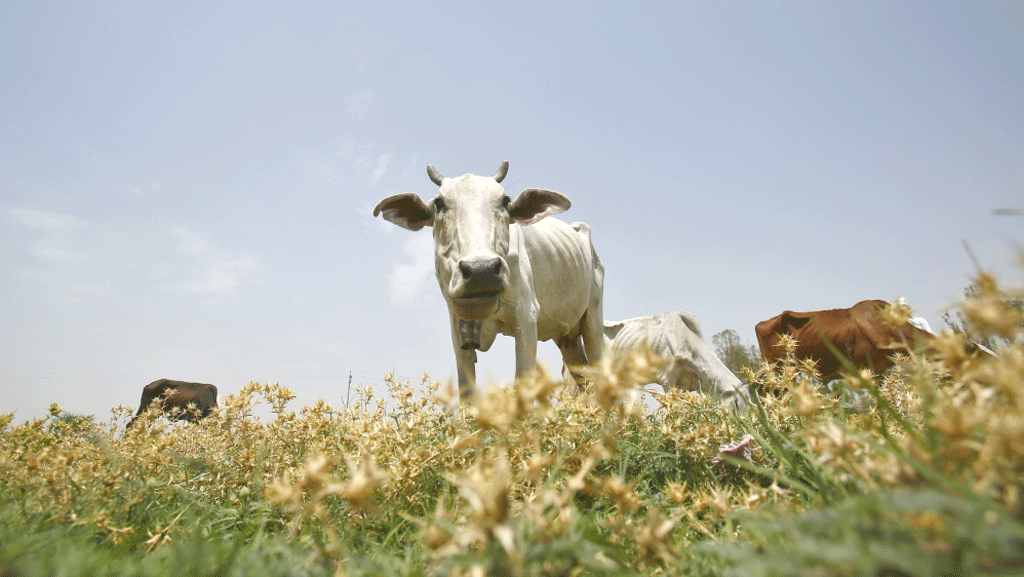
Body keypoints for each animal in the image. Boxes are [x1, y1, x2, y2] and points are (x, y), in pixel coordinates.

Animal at [372, 159, 602, 399]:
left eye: (505, 201)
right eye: (439, 203)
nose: (481, 271)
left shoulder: (526, 317)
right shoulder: (458, 328)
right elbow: (467, 393)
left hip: (593, 318)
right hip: (567, 337)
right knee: (583, 376)